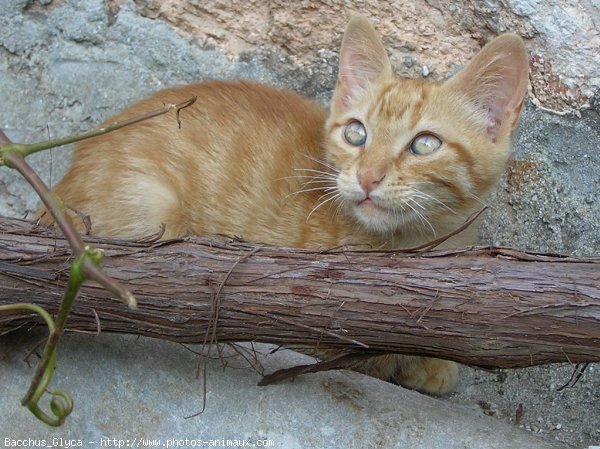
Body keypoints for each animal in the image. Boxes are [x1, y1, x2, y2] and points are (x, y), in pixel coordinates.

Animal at [39, 14, 528, 392]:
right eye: (356, 133)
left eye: (425, 144)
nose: (367, 177)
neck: (412, 243)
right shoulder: (301, 319)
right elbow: (366, 353)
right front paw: (417, 363)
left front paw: (433, 362)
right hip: (148, 208)